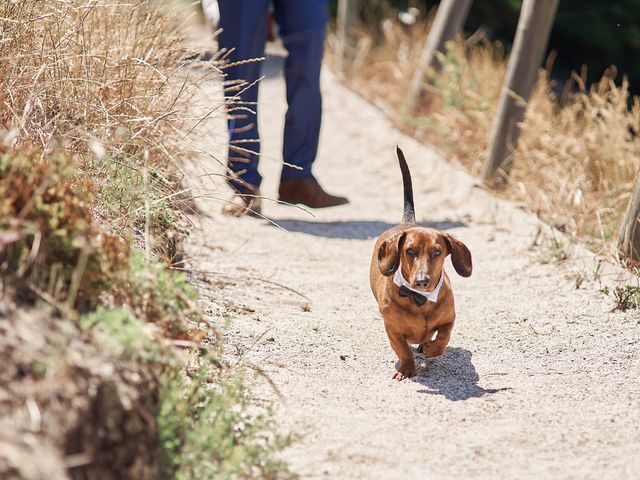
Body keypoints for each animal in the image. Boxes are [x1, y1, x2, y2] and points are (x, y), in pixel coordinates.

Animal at [368, 148, 472, 380]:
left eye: (437, 252)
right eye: (410, 251)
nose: (422, 281)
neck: (420, 299)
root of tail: (409, 222)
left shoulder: (449, 321)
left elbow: (442, 339)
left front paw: (430, 348)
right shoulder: (393, 330)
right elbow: (403, 349)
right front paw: (406, 368)